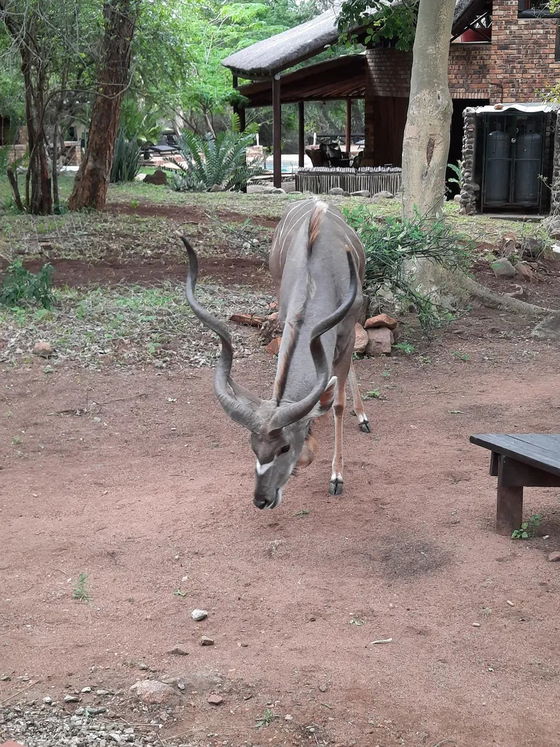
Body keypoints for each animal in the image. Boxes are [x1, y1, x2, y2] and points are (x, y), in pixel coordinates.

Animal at [182, 199, 370, 508]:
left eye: (284, 447)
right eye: (253, 447)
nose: (261, 499)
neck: (319, 274)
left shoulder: (347, 328)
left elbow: (338, 405)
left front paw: (336, 476)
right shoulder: (285, 320)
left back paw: (363, 416)